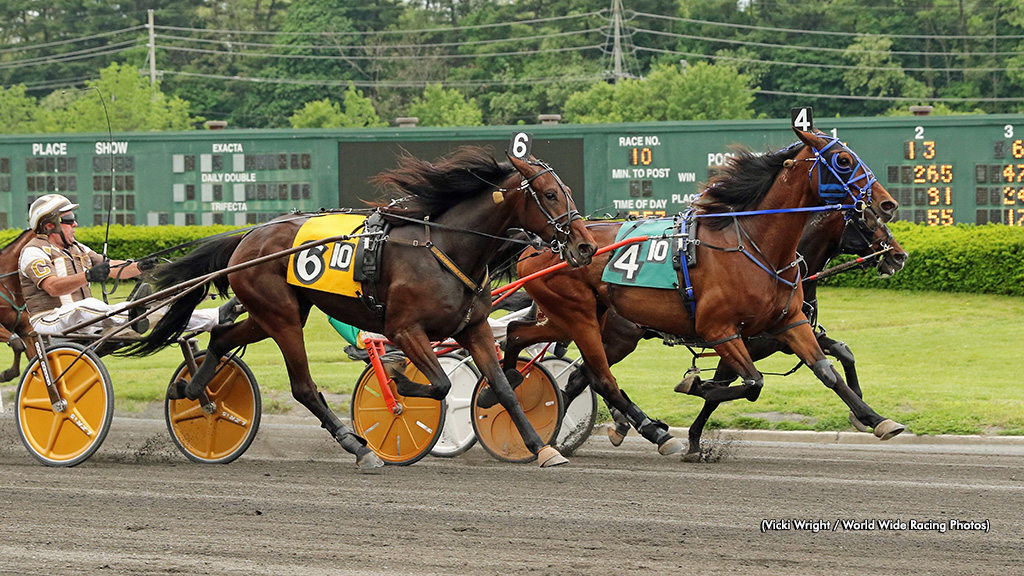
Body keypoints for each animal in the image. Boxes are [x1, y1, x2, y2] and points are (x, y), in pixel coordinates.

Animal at [123, 143, 598, 467]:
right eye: (550, 195)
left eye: (566, 191)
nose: (585, 246)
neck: (444, 248)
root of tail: (248, 235)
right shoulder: (406, 329)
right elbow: (440, 384)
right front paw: (397, 381)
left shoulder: (473, 326)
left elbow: (503, 387)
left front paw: (541, 447)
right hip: (281, 317)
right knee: (302, 386)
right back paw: (355, 445)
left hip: (273, 314)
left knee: (222, 336)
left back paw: (194, 392)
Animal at [501, 121, 905, 457]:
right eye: (843, 160)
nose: (887, 203)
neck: (757, 246)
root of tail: (542, 245)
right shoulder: (722, 332)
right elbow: (749, 383)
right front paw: (696, 397)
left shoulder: (789, 324)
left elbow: (828, 368)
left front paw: (875, 418)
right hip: (588, 320)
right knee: (592, 375)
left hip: (578, 320)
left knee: (529, 341)